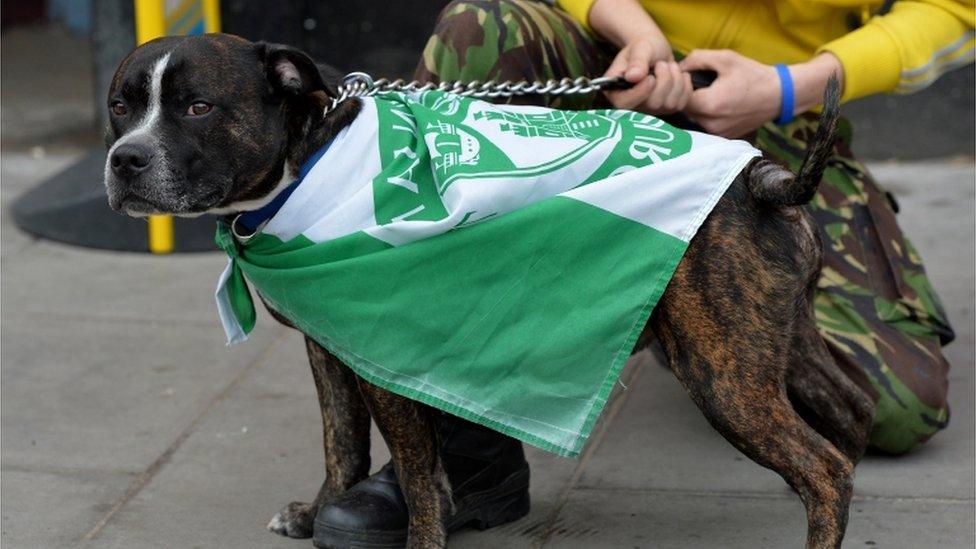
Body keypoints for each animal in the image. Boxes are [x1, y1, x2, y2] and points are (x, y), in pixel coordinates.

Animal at [107, 33, 876, 548]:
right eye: (120, 106)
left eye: (198, 107)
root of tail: (762, 180)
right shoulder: (330, 347)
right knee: (852, 420)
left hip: (720, 372)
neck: (312, 160)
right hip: (780, 345)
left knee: (824, 467)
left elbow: (418, 472)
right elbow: (342, 443)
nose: (123, 159)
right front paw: (321, 509)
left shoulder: (383, 348)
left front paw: (421, 535)